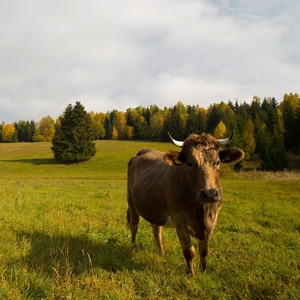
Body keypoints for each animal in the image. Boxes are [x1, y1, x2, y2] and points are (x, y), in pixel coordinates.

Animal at [125, 130, 245, 276]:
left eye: (217, 162)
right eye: (189, 163)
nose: (210, 193)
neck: (201, 210)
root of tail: (143, 150)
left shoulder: (212, 221)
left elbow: (204, 250)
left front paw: (203, 271)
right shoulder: (180, 221)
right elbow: (189, 251)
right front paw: (190, 274)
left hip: (155, 207)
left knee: (157, 229)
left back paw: (161, 252)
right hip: (131, 202)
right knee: (134, 226)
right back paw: (133, 249)